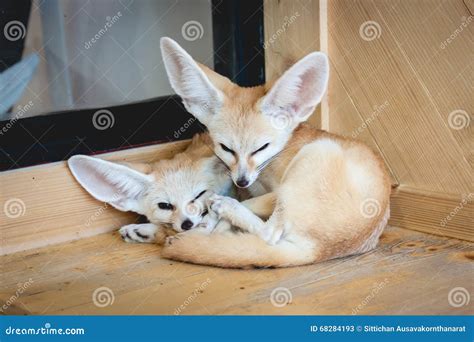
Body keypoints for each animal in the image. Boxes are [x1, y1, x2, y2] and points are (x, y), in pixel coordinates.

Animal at [157, 36, 390, 268]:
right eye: (226, 148)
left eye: (261, 148)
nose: (241, 181)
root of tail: (319, 252)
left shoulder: (276, 190)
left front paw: (212, 219)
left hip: (317, 152)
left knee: (269, 234)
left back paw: (226, 210)